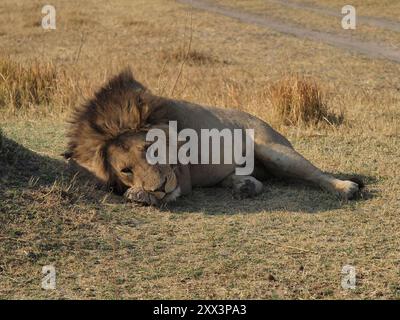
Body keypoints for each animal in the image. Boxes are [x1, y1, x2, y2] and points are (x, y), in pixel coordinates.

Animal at [65, 69, 362, 206]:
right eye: (125, 170)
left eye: (153, 150)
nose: (160, 186)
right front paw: (140, 191)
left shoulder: (181, 177)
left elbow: (169, 192)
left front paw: (140, 194)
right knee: (257, 181)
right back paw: (244, 186)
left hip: (274, 150)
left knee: (316, 174)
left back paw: (346, 188)